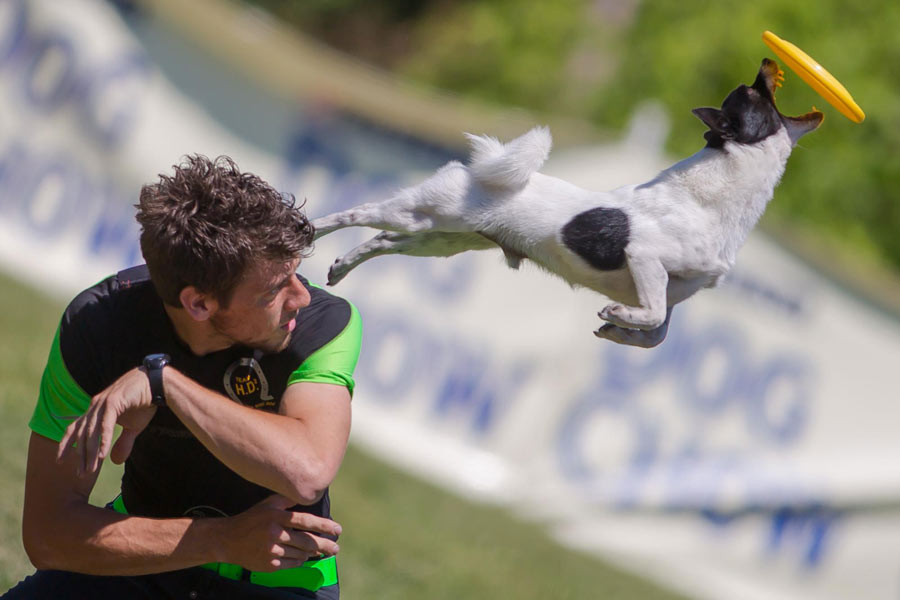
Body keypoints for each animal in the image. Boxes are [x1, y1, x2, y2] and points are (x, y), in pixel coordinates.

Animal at [314, 58, 824, 350]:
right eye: (753, 93)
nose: (766, 60)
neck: (712, 202)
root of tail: (477, 168)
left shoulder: (675, 291)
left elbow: (658, 333)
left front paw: (619, 331)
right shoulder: (646, 260)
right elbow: (654, 315)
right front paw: (618, 316)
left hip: (439, 240)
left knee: (381, 240)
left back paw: (340, 267)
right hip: (423, 215)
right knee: (358, 213)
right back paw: (312, 230)